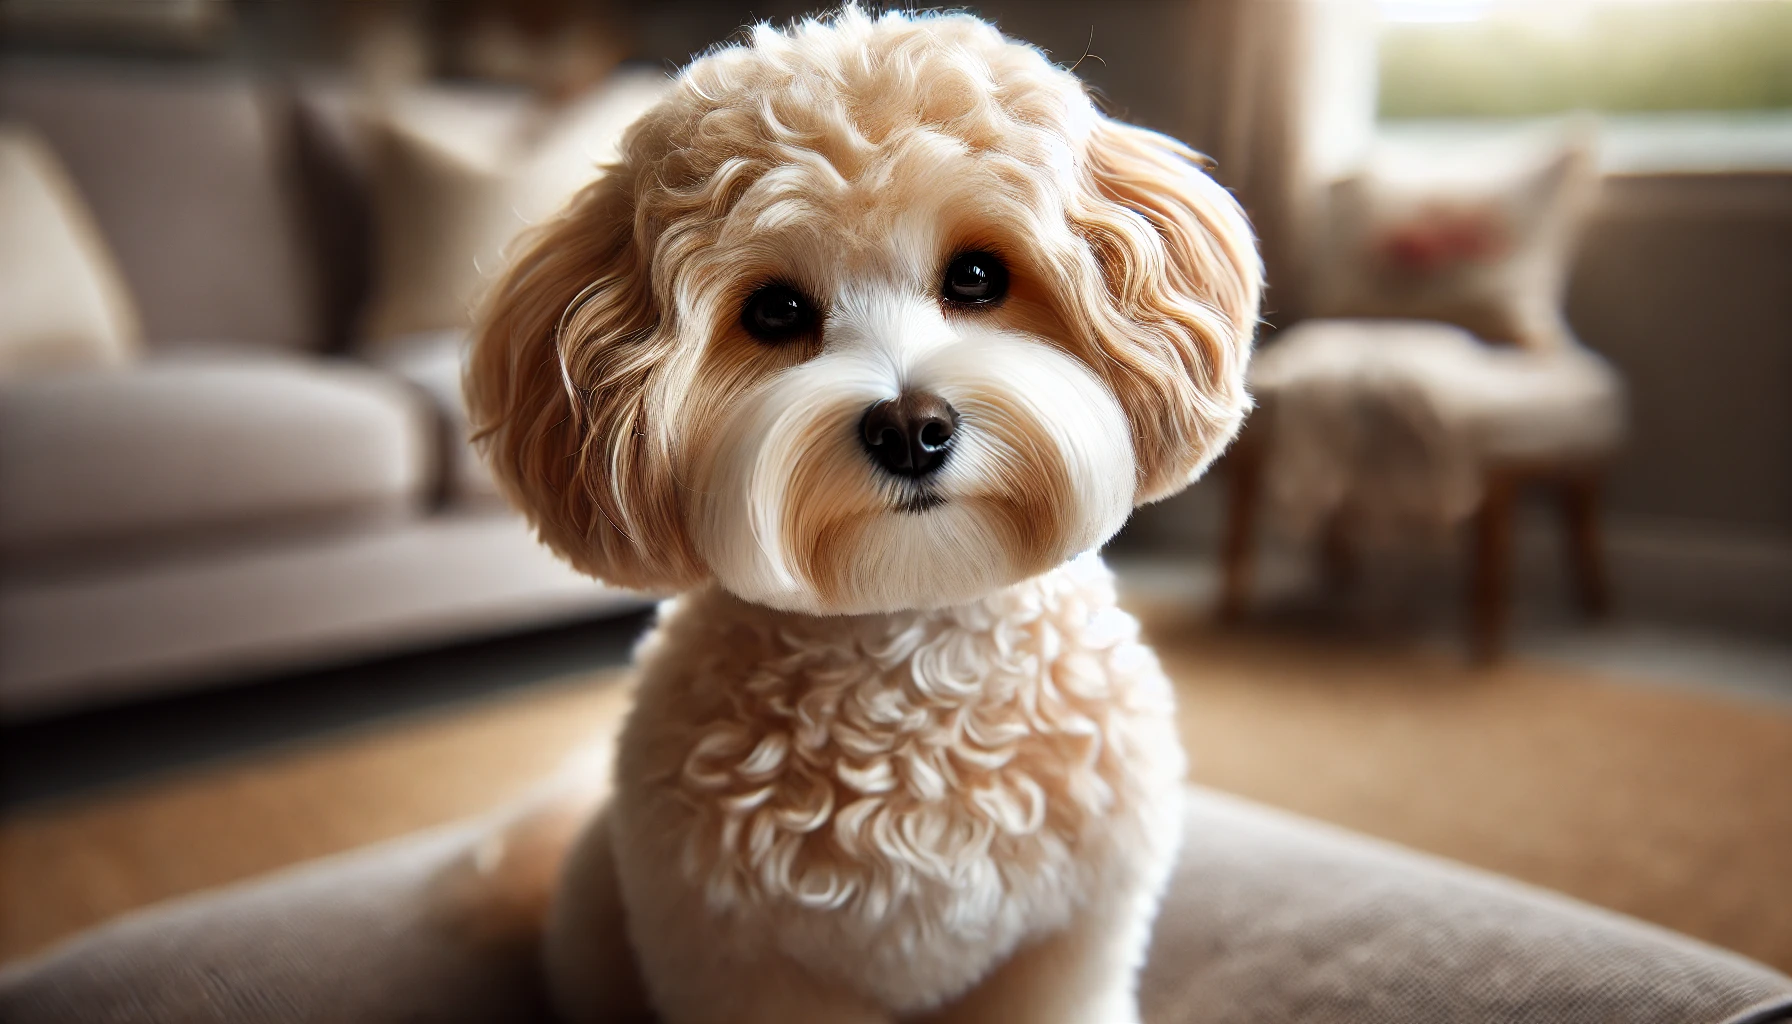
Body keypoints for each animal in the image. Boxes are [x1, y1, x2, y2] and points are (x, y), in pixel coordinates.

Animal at [469, 8, 1268, 1024]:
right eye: (775, 311)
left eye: (976, 275)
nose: (911, 429)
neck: (908, 654)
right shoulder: (741, 963)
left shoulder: (1066, 943)